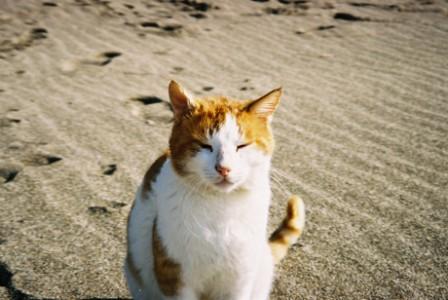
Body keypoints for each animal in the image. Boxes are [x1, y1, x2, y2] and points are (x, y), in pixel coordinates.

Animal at [124, 80, 306, 300]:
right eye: (204, 145)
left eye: (242, 146)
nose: (224, 168)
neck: (221, 205)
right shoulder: (174, 277)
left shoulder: (239, 280)